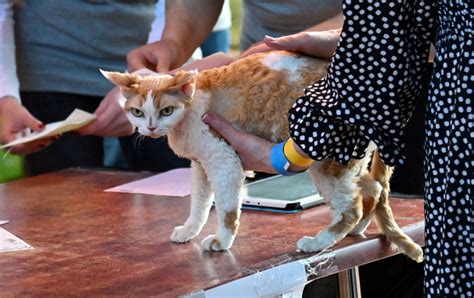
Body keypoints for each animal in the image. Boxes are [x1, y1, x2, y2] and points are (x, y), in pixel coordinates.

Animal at [100, 51, 422, 264]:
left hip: (327, 158)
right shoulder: (201, 165)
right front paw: (189, 230)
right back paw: (356, 229)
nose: (151, 127)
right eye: (137, 112)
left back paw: (319, 241)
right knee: (373, 188)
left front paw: (221, 241)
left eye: (166, 110)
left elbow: (226, 209)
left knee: (351, 205)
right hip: (348, 162)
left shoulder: (224, 161)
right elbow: (200, 204)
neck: (185, 119)